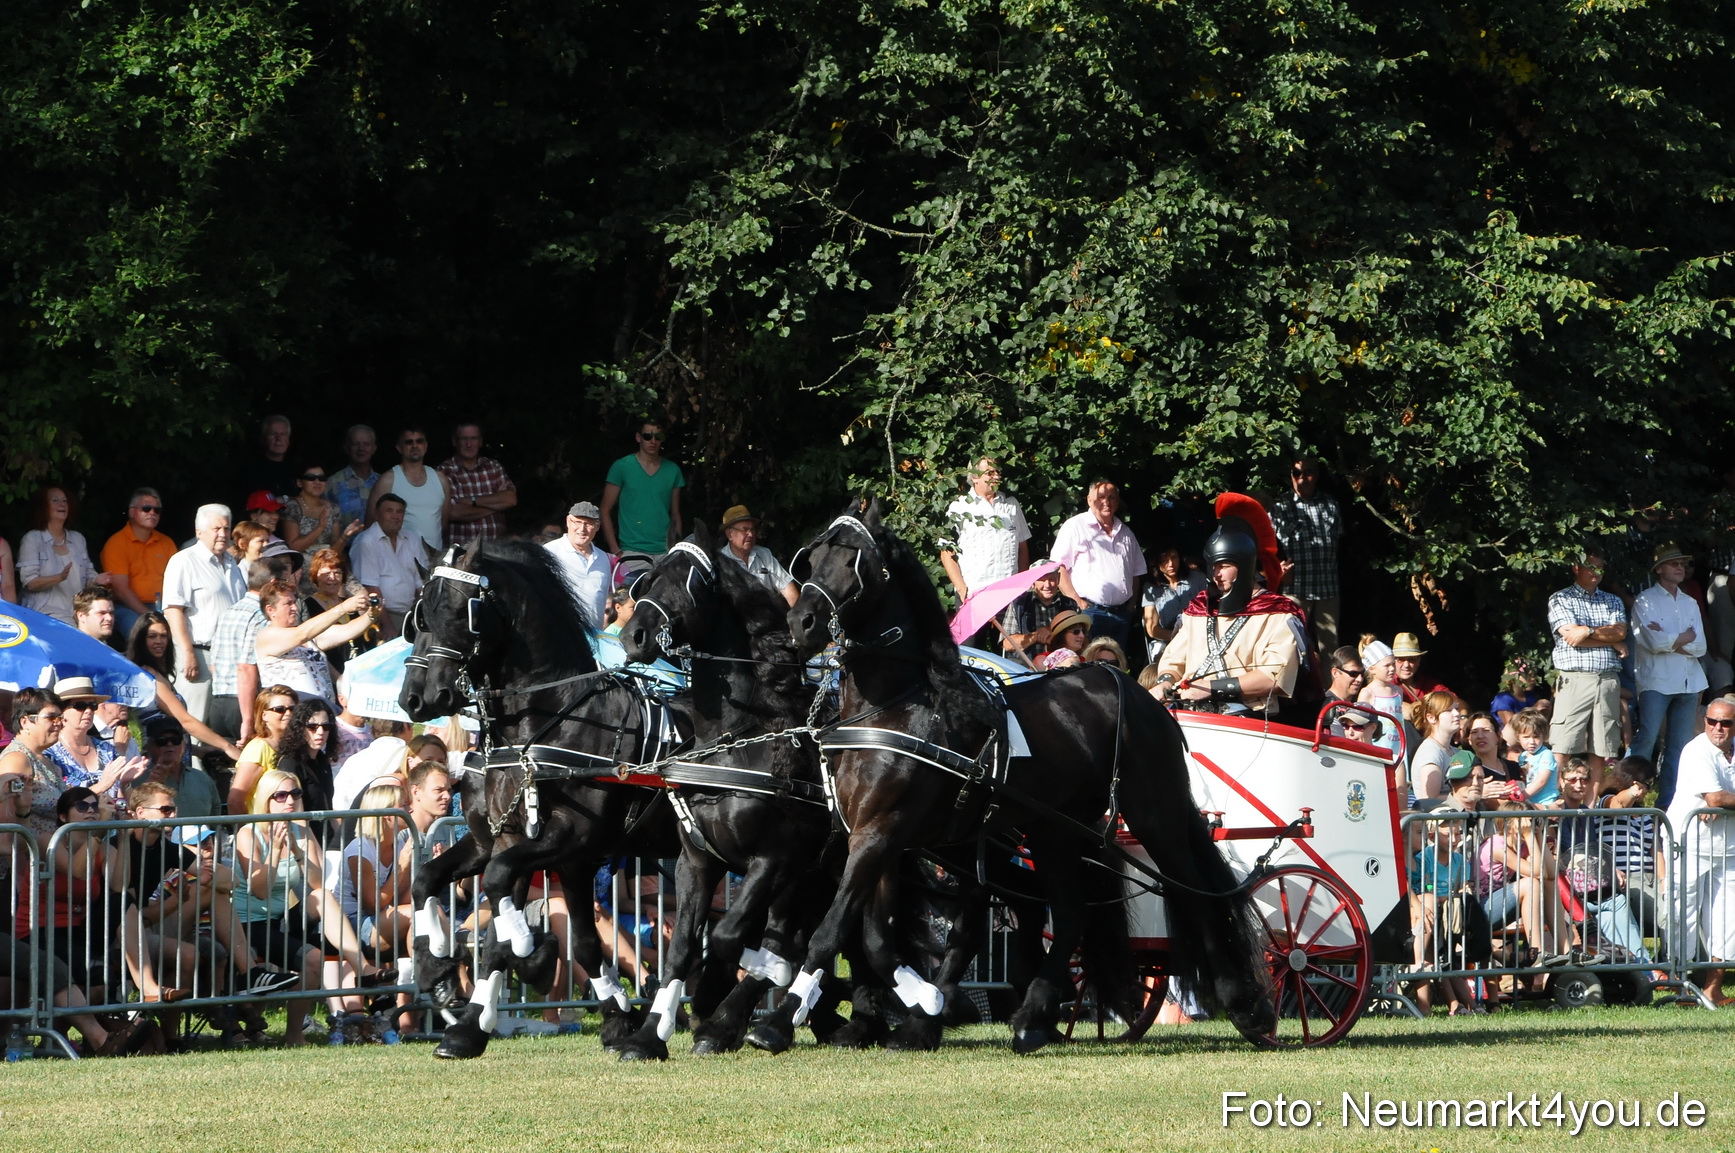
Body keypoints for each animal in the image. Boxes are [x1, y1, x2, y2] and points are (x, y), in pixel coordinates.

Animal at [744, 503, 1275, 1054]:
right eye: (813, 558)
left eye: (855, 562)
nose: (800, 622)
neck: (894, 708)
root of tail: (1140, 693)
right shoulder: (874, 838)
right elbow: (873, 937)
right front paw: (923, 1004)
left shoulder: (880, 833)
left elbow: (832, 930)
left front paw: (777, 1021)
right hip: (1053, 829)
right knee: (1068, 911)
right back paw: (1033, 1015)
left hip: (1154, 814)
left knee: (1192, 894)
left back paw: (1242, 1003)